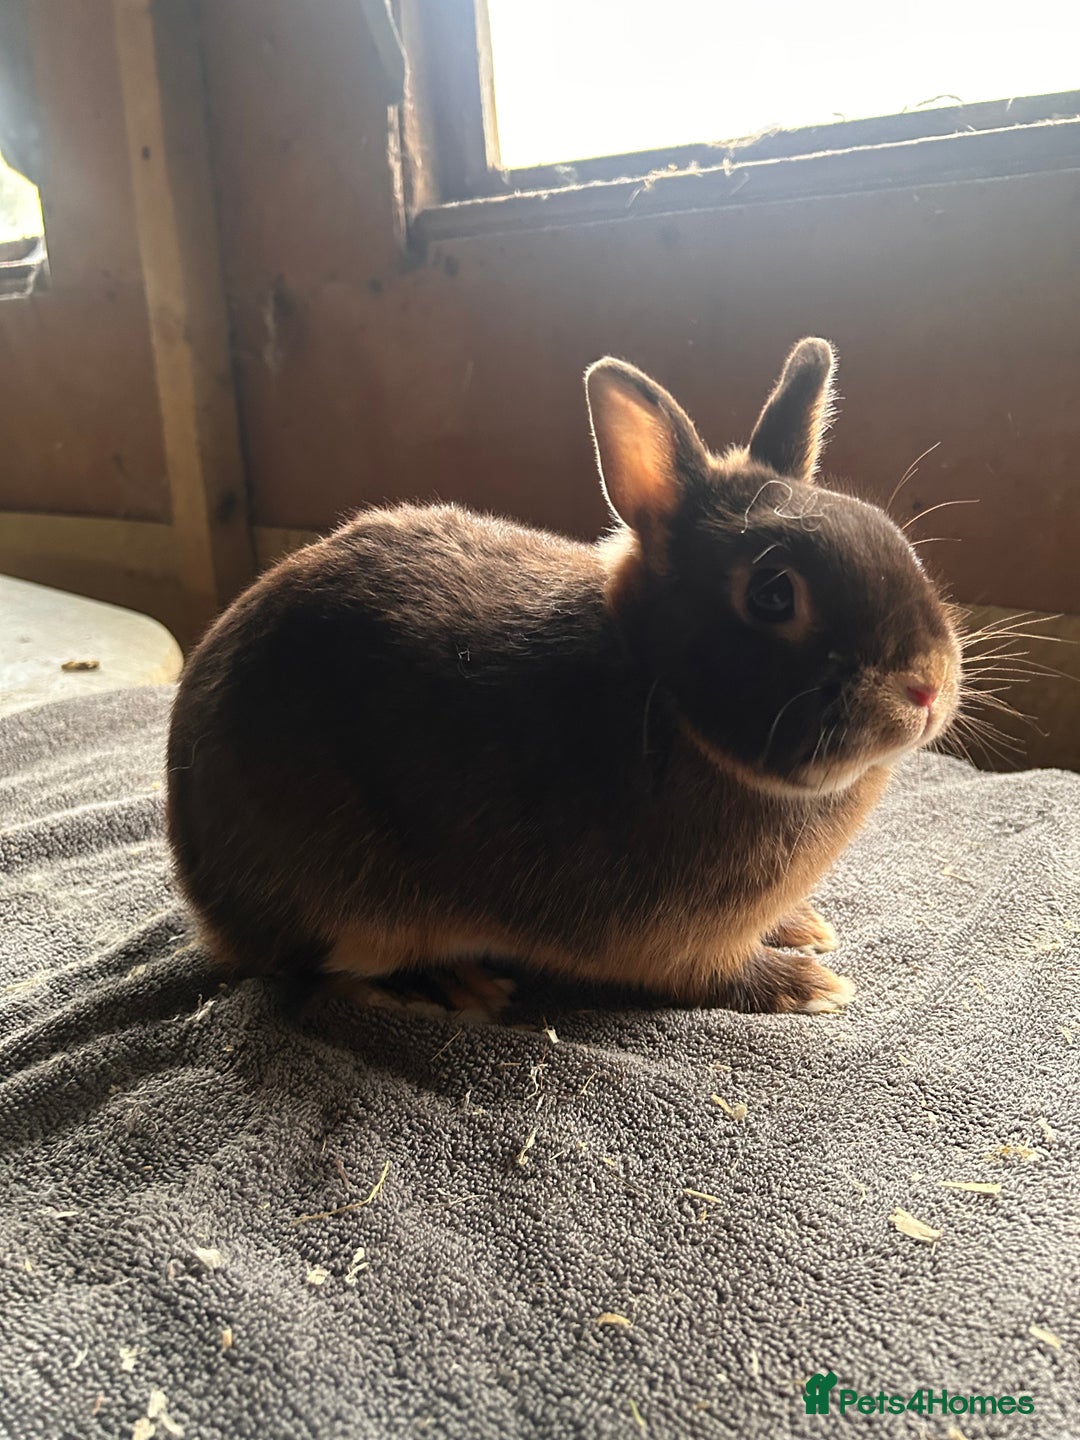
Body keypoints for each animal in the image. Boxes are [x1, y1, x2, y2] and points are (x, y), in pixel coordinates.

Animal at [166, 338, 961, 1014]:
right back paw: (453, 986)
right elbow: (713, 975)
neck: (662, 697)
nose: (926, 685)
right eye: (771, 594)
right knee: (325, 969)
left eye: (892, 534)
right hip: (359, 900)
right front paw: (805, 983)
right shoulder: (674, 942)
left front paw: (803, 928)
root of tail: (205, 889)